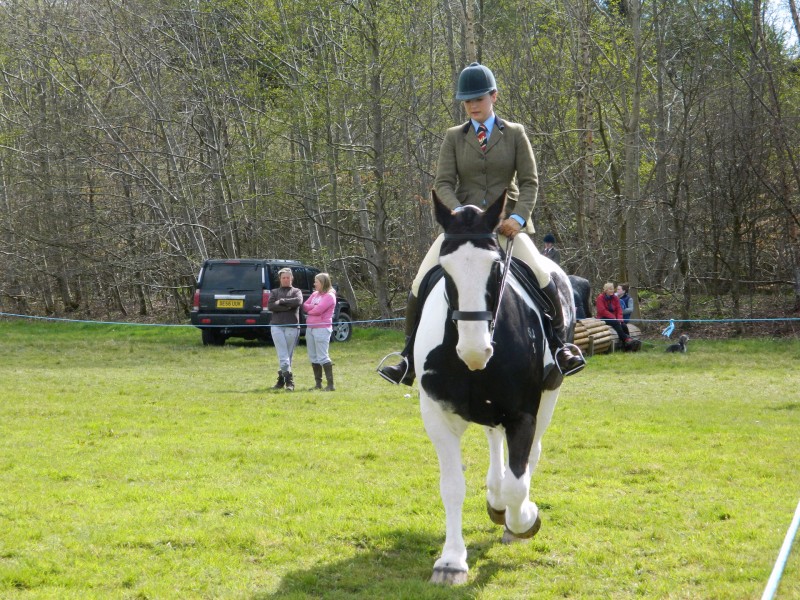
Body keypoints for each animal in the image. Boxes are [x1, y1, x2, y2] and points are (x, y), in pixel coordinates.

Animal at [412, 191, 576, 580]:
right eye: (445, 269)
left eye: (497, 267)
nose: (475, 350)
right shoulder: (437, 416)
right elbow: (452, 487)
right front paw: (451, 561)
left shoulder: (523, 415)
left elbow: (519, 483)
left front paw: (523, 520)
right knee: (494, 440)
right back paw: (495, 495)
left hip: (551, 393)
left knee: (531, 455)